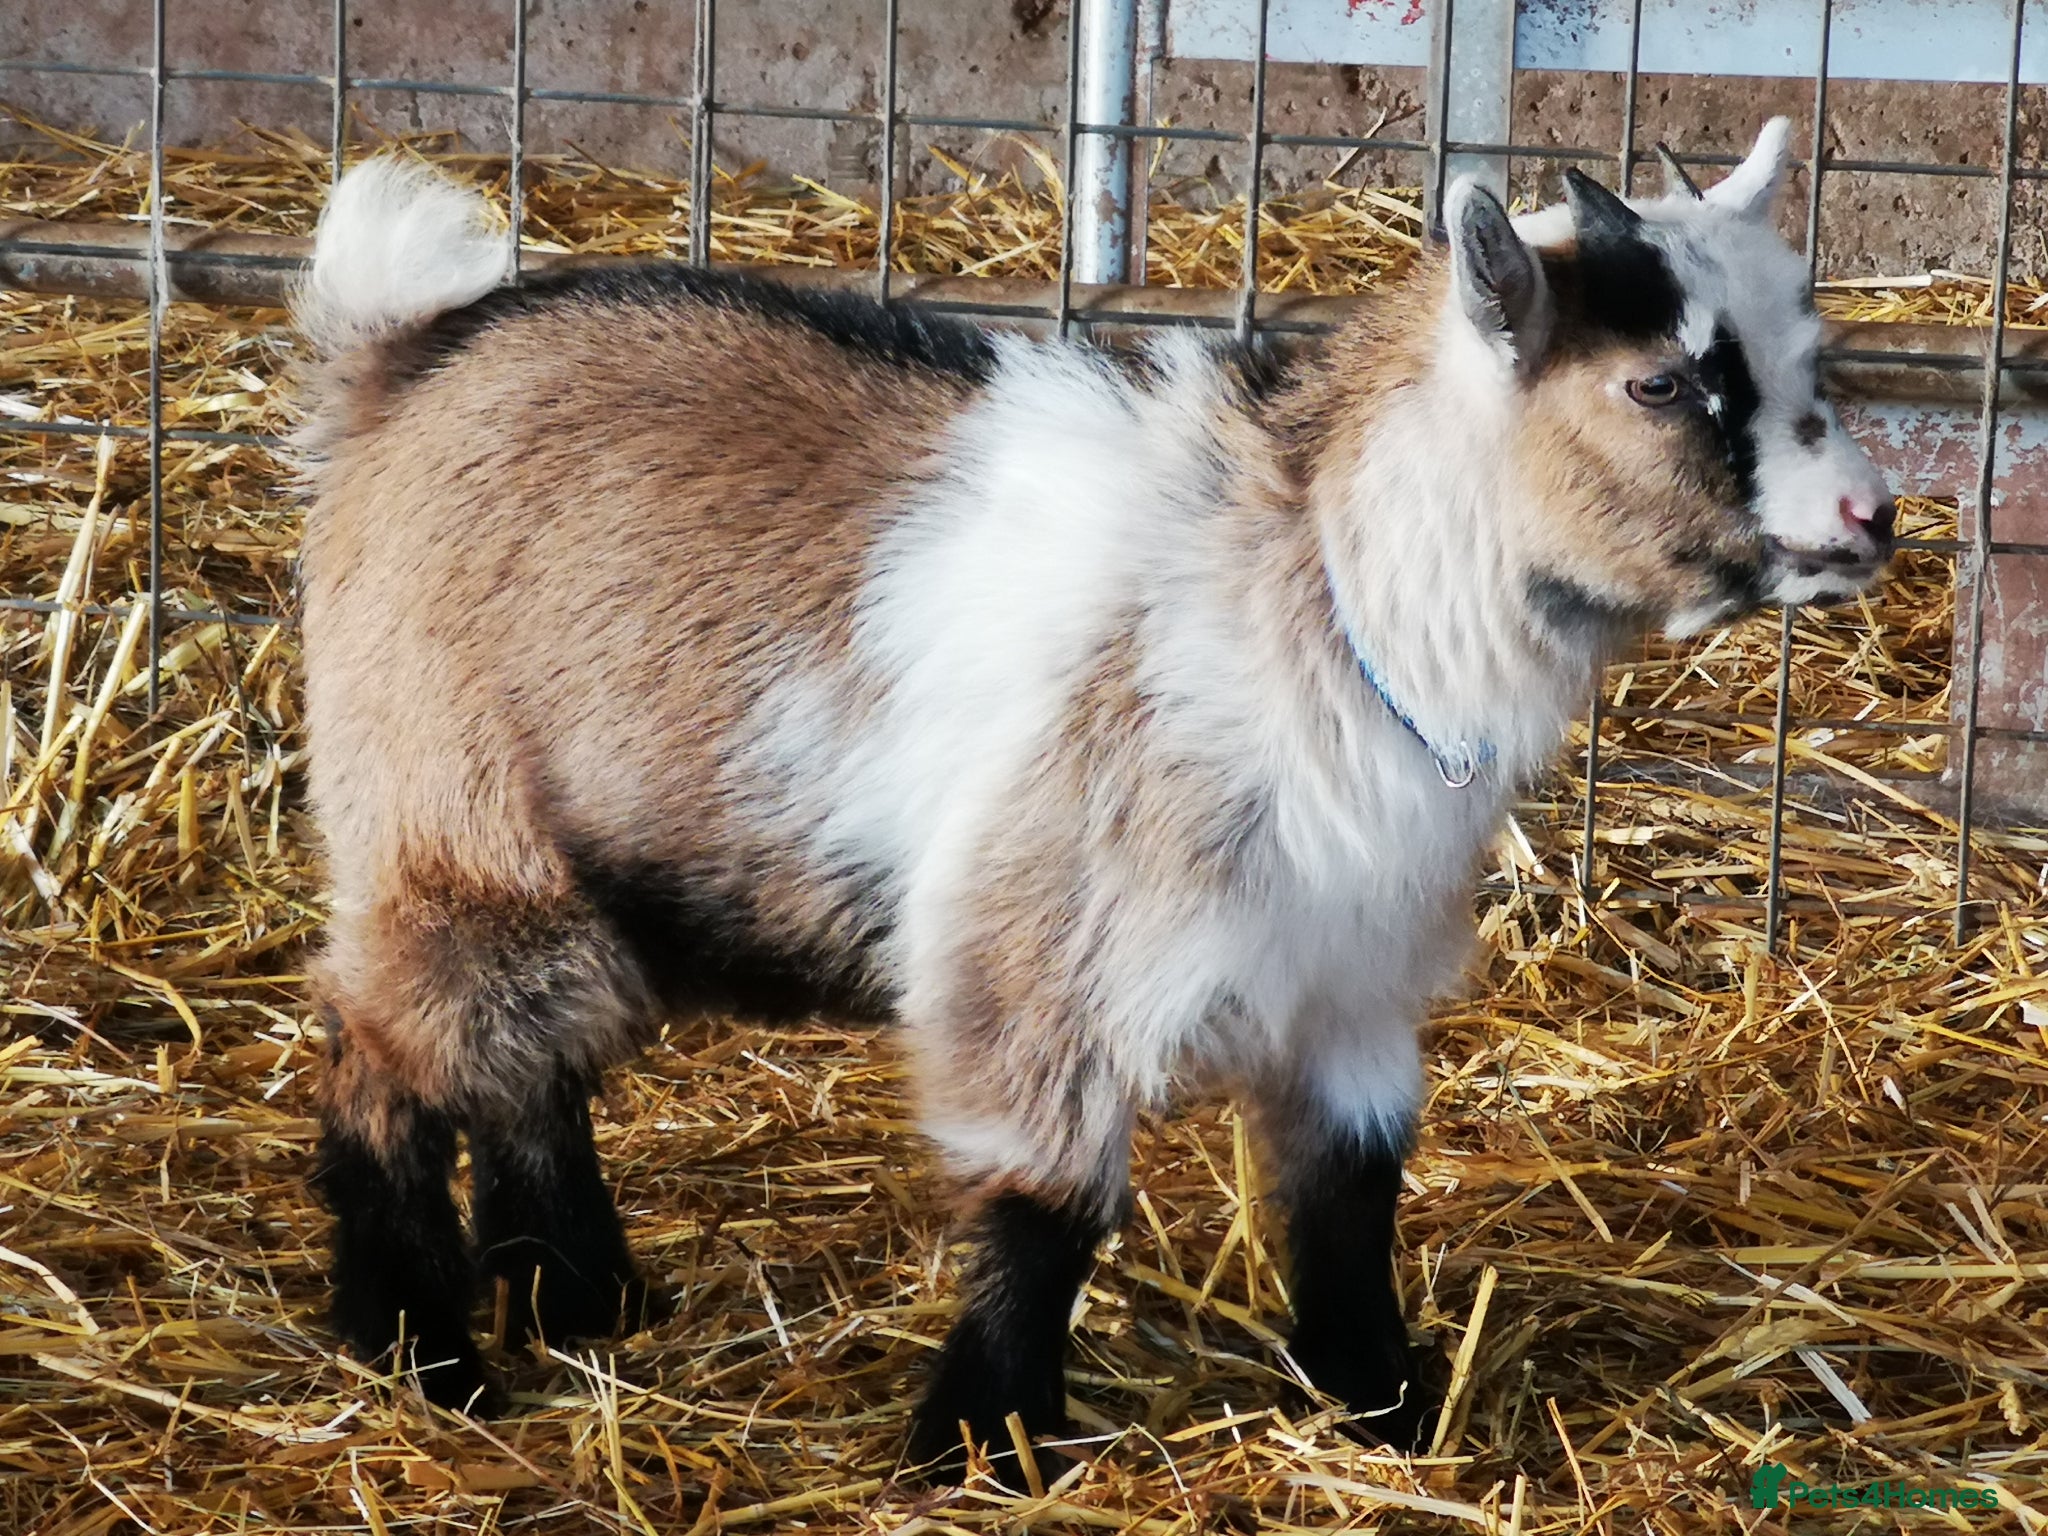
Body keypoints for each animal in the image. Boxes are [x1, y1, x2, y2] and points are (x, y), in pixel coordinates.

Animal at [290, 118, 1892, 1477]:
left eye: (1808, 356)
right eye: (1661, 381)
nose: (1869, 518)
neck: (1316, 590)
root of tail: (403, 360)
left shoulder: (1351, 984)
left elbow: (1349, 1197)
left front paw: (1388, 1404)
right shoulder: (1042, 954)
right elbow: (1048, 1208)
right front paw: (976, 1442)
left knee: (531, 1071)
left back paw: (583, 1301)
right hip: (452, 828)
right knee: (389, 1061)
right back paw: (424, 1354)